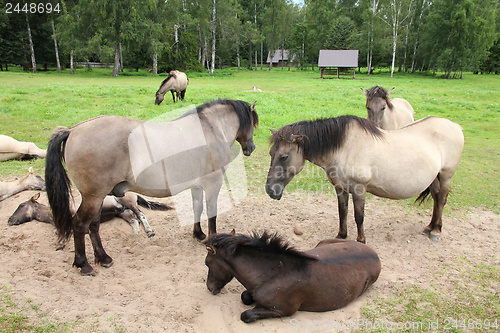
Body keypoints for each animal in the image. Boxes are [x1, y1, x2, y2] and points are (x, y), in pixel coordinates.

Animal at [7, 191, 171, 248]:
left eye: (21, 205)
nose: (10, 219)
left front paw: (61, 243)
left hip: (129, 204)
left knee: (141, 215)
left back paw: (149, 231)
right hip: (123, 212)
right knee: (134, 220)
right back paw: (136, 234)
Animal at [45, 98, 260, 274]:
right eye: (253, 124)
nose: (251, 148)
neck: (210, 128)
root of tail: (72, 130)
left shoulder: (196, 186)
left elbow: (197, 208)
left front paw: (198, 234)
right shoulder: (212, 183)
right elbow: (211, 212)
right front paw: (211, 239)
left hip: (98, 198)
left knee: (94, 225)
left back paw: (103, 258)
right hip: (93, 197)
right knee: (80, 225)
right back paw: (83, 264)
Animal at [205, 231, 380, 322]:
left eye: (207, 263)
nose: (209, 288)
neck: (274, 274)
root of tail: (375, 254)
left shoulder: (285, 310)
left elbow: (246, 314)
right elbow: (245, 296)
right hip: (321, 243)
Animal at [266, 115, 464, 243]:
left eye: (284, 156)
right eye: (270, 153)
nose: (270, 190)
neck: (344, 147)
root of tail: (455, 126)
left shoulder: (359, 189)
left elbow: (358, 216)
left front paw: (361, 240)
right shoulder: (340, 188)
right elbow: (343, 212)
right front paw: (341, 236)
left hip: (446, 174)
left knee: (442, 199)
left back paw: (436, 231)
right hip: (434, 178)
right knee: (437, 198)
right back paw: (430, 227)